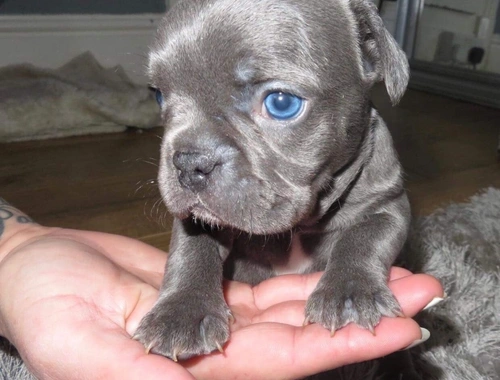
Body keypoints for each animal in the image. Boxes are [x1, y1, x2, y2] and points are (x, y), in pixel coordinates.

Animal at [134, 0, 410, 362]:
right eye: (159, 97)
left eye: (282, 102)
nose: (188, 163)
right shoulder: (195, 221)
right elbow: (190, 250)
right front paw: (180, 312)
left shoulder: (387, 205)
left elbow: (364, 237)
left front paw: (350, 293)